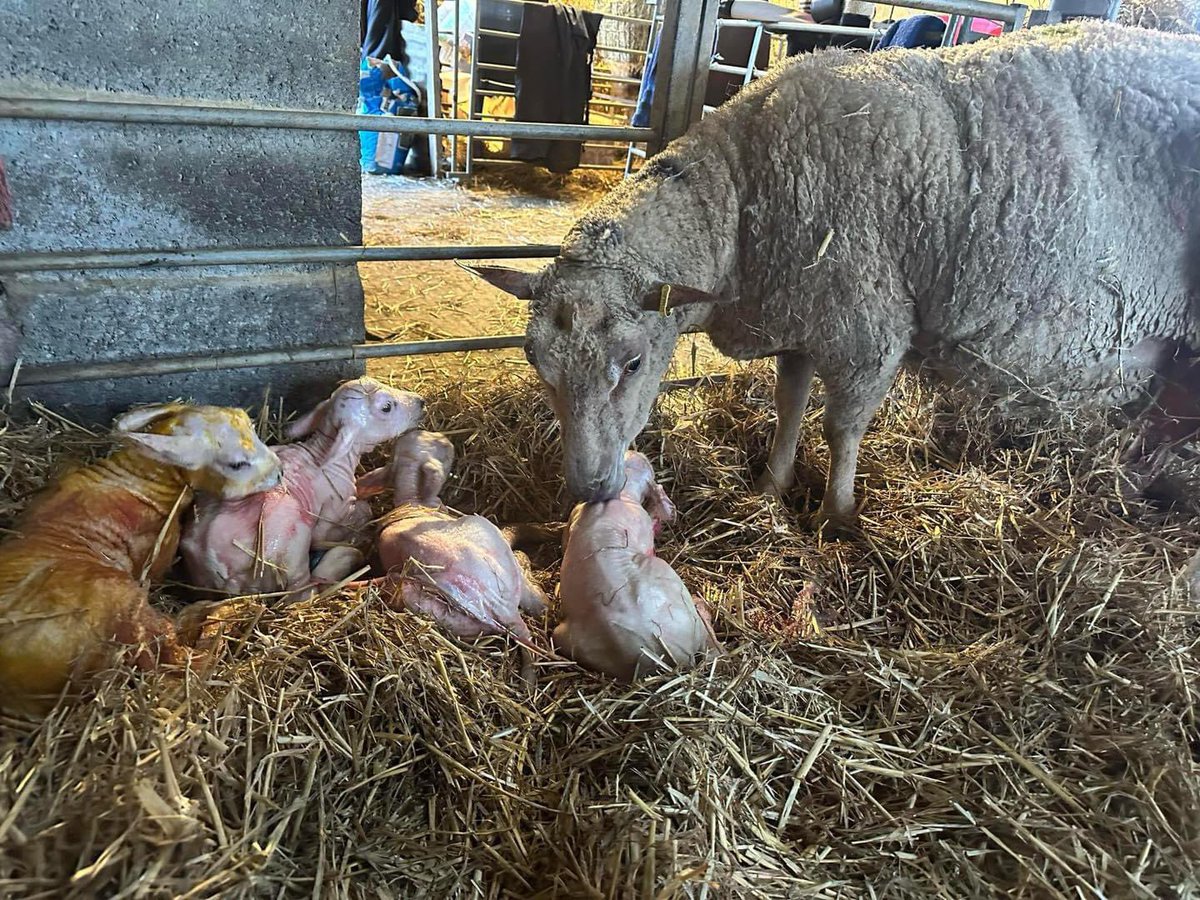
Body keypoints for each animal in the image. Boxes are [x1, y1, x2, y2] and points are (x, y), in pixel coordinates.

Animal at [177, 379, 422, 600]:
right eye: (386, 407)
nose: (421, 401)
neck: (322, 453)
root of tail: (215, 563)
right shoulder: (334, 512)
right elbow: (359, 514)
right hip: (292, 549)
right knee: (303, 592)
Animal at [352, 427, 547, 643]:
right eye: (442, 450)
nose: (446, 438)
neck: (413, 500)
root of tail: (501, 609)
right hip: (493, 541)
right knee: (537, 598)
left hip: (428, 604)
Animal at [468, 24, 1200, 528]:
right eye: (535, 361)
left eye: (634, 362)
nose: (589, 490)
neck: (741, 198)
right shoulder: (800, 316)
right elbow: (790, 406)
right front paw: (771, 485)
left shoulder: (866, 332)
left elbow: (841, 430)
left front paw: (837, 513)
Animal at [554, 451, 720, 681]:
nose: (636, 452)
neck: (623, 495)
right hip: (667, 576)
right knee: (714, 647)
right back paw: (701, 605)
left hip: (568, 639)